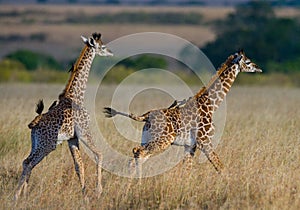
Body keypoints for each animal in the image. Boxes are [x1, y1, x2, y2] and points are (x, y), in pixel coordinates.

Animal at [14, 32, 112, 200]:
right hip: (47, 145)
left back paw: (24, 196)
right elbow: (99, 154)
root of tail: (34, 124)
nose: (111, 52)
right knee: (29, 163)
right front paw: (98, 191)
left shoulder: (72, 138)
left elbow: (79, 165)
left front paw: (84, 195)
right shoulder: (84, 131)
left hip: (36, 143)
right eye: (103, 46)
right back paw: (16, 197)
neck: (76, 96)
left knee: (27, 162)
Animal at [104, 49, 262, 176]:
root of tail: (146, 116)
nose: (258, 68)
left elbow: (187, 171)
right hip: (163, 140)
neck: (210, 105)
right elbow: (220, 167)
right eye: (248, 61)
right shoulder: (205, 141)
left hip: (147, 138)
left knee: (136, 157)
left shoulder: (190, 145)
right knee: (138, 153)